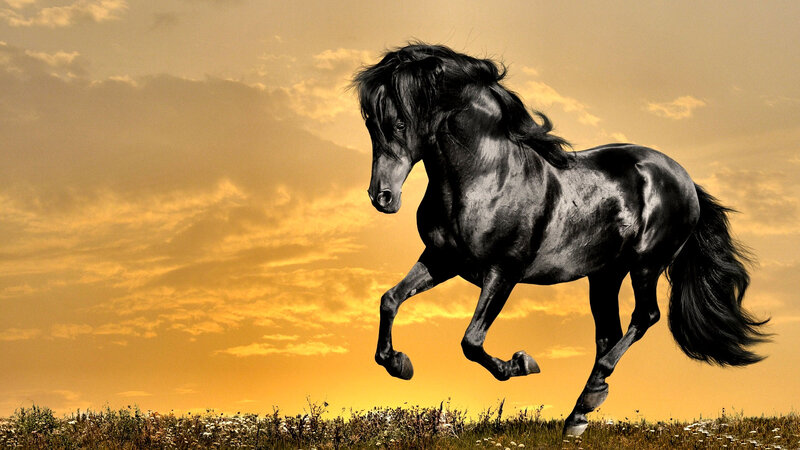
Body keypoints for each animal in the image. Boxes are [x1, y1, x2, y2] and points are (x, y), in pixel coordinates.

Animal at [352, 43, 768, 436]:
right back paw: (578, 415)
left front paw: (521, 363)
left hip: (645, 265)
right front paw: (399, 364)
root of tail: (683, 179)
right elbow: (390, 300)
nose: (382, 197)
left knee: (644, 317)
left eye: (400, 123)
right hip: (605, 275)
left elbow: (471, 341)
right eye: (370, 123)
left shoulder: (503, 272)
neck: (485, 177)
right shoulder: (442, 259)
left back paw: (589, 398)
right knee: (609, 334)